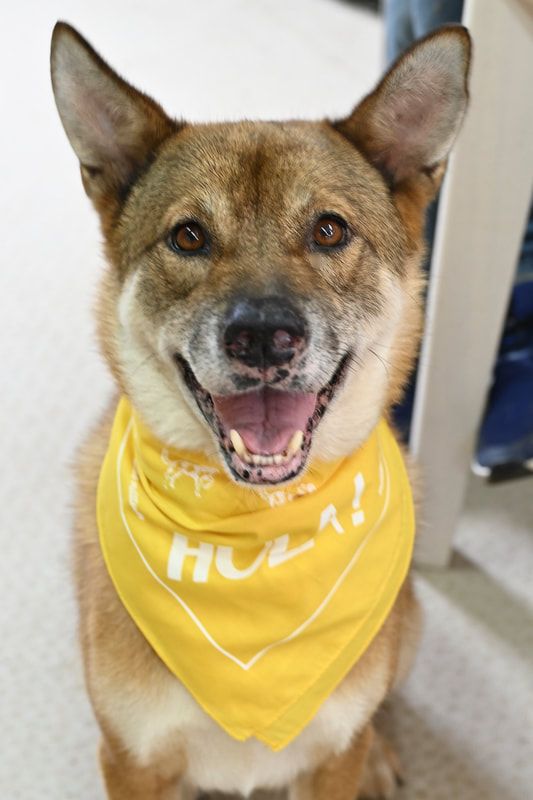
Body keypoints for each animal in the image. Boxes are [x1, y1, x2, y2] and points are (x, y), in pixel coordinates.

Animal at [51, 20, 470, 800]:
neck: (253, 536)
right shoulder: (130, 759)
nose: (262, 335)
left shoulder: (331, 755)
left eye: (330, 230)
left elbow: (353, 733)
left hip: (407, 628)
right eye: (188, 236)